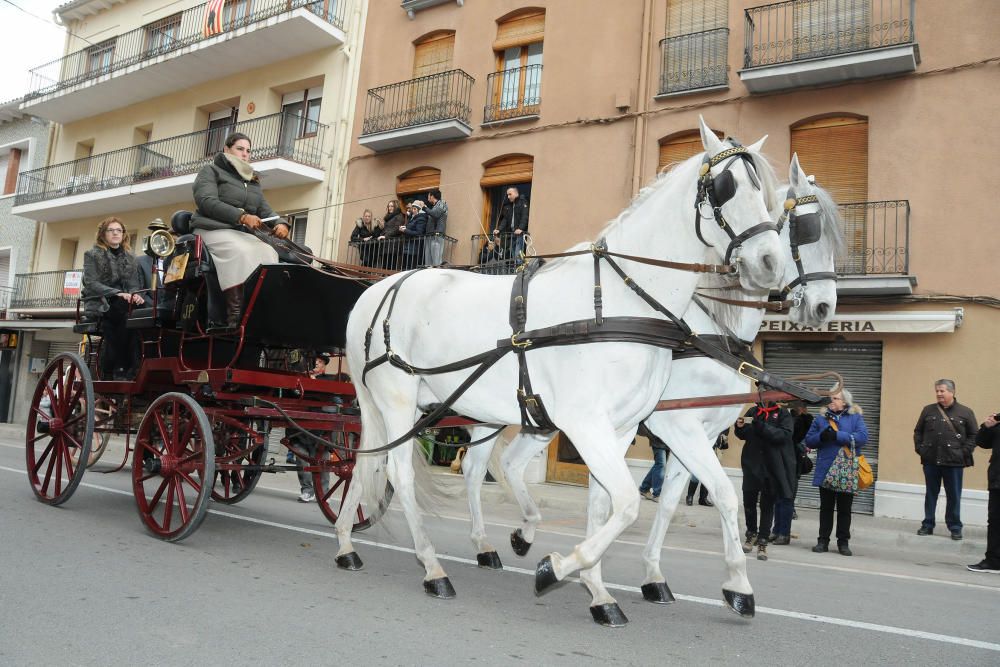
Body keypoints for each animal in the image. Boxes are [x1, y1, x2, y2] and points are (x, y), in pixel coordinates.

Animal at [332, 117, 784, 624]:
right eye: (727, 187)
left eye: (765, 194)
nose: (770, 262)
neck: (617, 303)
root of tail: (376, 292)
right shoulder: (588, 422)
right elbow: (628, 504)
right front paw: (557, 568)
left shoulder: (620, 428)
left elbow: (608, 505)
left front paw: (597, 590)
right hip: (397, 397)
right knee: (397, 472)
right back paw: (432, 568)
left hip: (398, 405)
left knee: (366, 460)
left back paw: (347, 544)